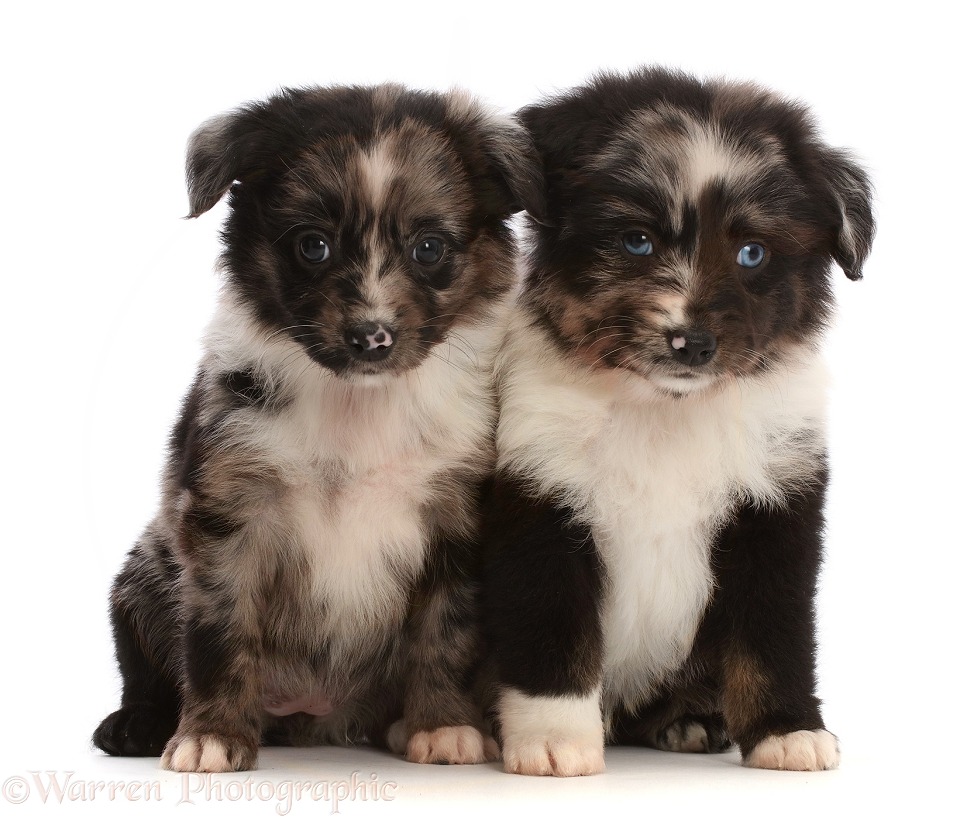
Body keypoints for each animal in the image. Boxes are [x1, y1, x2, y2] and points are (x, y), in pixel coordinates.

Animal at [94, 85, 544, 776]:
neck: (357, 402)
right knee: (142, 668)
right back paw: (135, 725)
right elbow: (220, 633)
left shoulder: (455, 519)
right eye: (313, 246)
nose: (372, 337)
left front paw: (442, 725)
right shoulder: (231, 514)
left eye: (429, 248)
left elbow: (444, 630)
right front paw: (211, 735)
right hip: (143, 572)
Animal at [484, 69, 872, 776]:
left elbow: (772, 634)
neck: (667, 409)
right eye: (638, 240)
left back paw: (688, 720)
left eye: (752, 253)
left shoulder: (777, 505)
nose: (691, 342)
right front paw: (553, 738)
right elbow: (553, 624)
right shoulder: (542, 493)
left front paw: (788, 730)